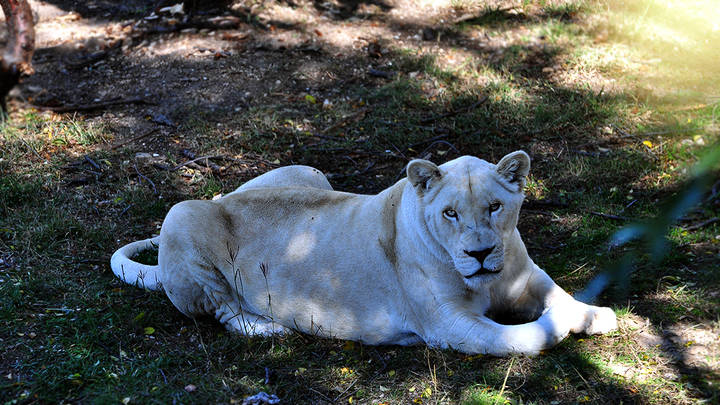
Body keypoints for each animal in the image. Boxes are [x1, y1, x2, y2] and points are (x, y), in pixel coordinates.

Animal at [110, 151, 617, 355]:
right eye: (450, 213)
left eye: (495, 207)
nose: (480, 253)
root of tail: (221, 197)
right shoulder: (449, 326)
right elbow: (522, 339)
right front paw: (561, 325)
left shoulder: (525, 276)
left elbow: (558, 293)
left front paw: (595, 314)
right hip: (181, 214)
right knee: (220, 310)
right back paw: (271, 328)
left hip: (308, 171)